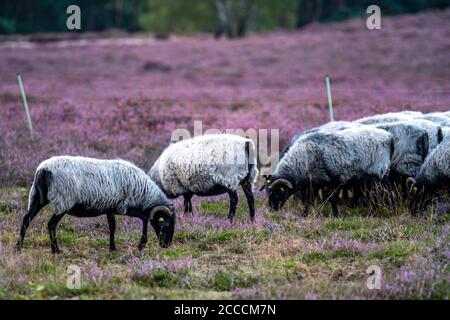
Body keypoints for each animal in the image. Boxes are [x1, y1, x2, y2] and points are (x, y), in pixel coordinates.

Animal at [15, 156, 175, 254]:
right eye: (166, 224)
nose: (166, 245)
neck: (143, 191)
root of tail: (44, 169)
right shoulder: (125, 207)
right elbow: (145, 219)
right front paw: (141, 245)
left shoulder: (111, 208)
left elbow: (112, 228)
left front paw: (112, 248)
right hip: (63, 201)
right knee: (51, 224)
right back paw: (56, 250)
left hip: (37, 198)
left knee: (26, 219)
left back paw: (19, 247)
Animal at [262, 126, 392, 216]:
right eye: (269, 192)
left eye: (278, 192)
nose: (272, 208)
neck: (301, 162)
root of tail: (388, 137)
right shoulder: (314, 183)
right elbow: (309, 200)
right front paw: (305, 214)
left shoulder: (329, 182)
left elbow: (332, 199)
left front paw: (335, 215)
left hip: (378, 173)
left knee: (379, 193)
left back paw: (374, 213)